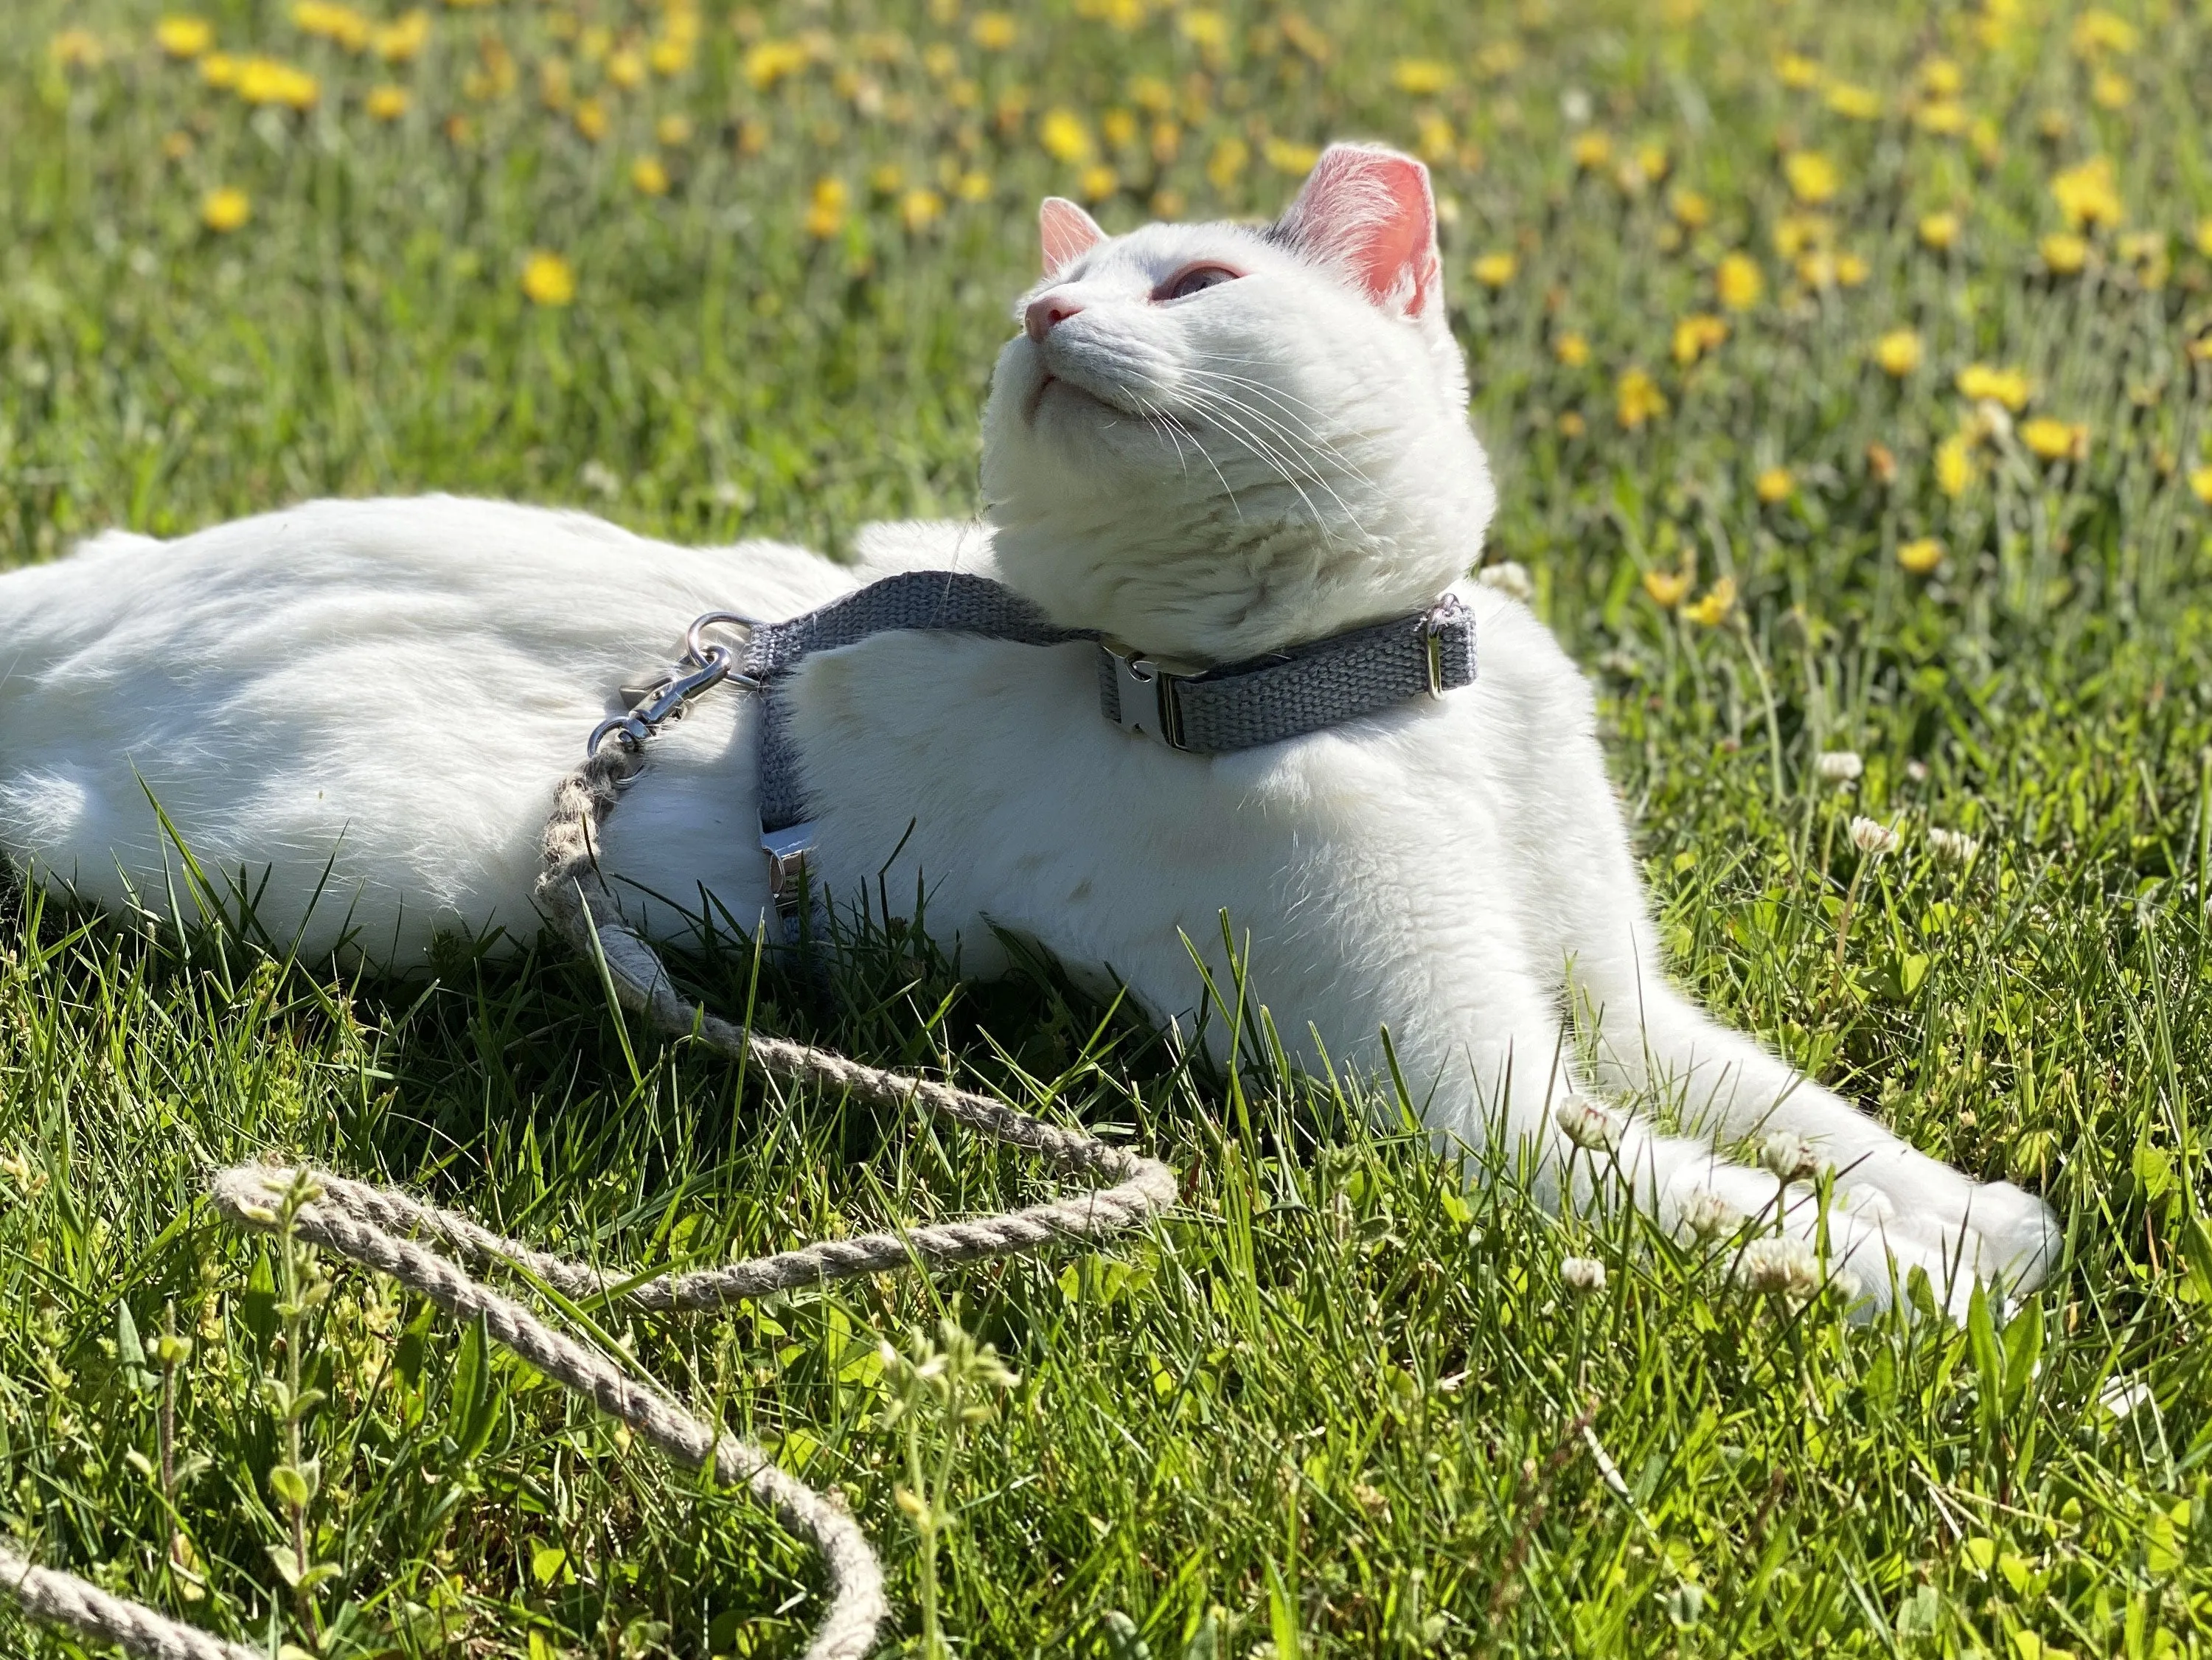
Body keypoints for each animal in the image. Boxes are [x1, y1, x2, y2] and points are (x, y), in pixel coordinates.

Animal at [0, 146, 2053, 1310]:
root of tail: (83, 592)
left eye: (1198, 283)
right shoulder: (1472, 1090)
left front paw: (1985, 1219)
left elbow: (1800, 1118)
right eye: (1039, 302)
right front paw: (1929, 1292)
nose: (1045, 314)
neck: (1372, 680)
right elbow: (1709, 1193)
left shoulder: (1617, 1006)